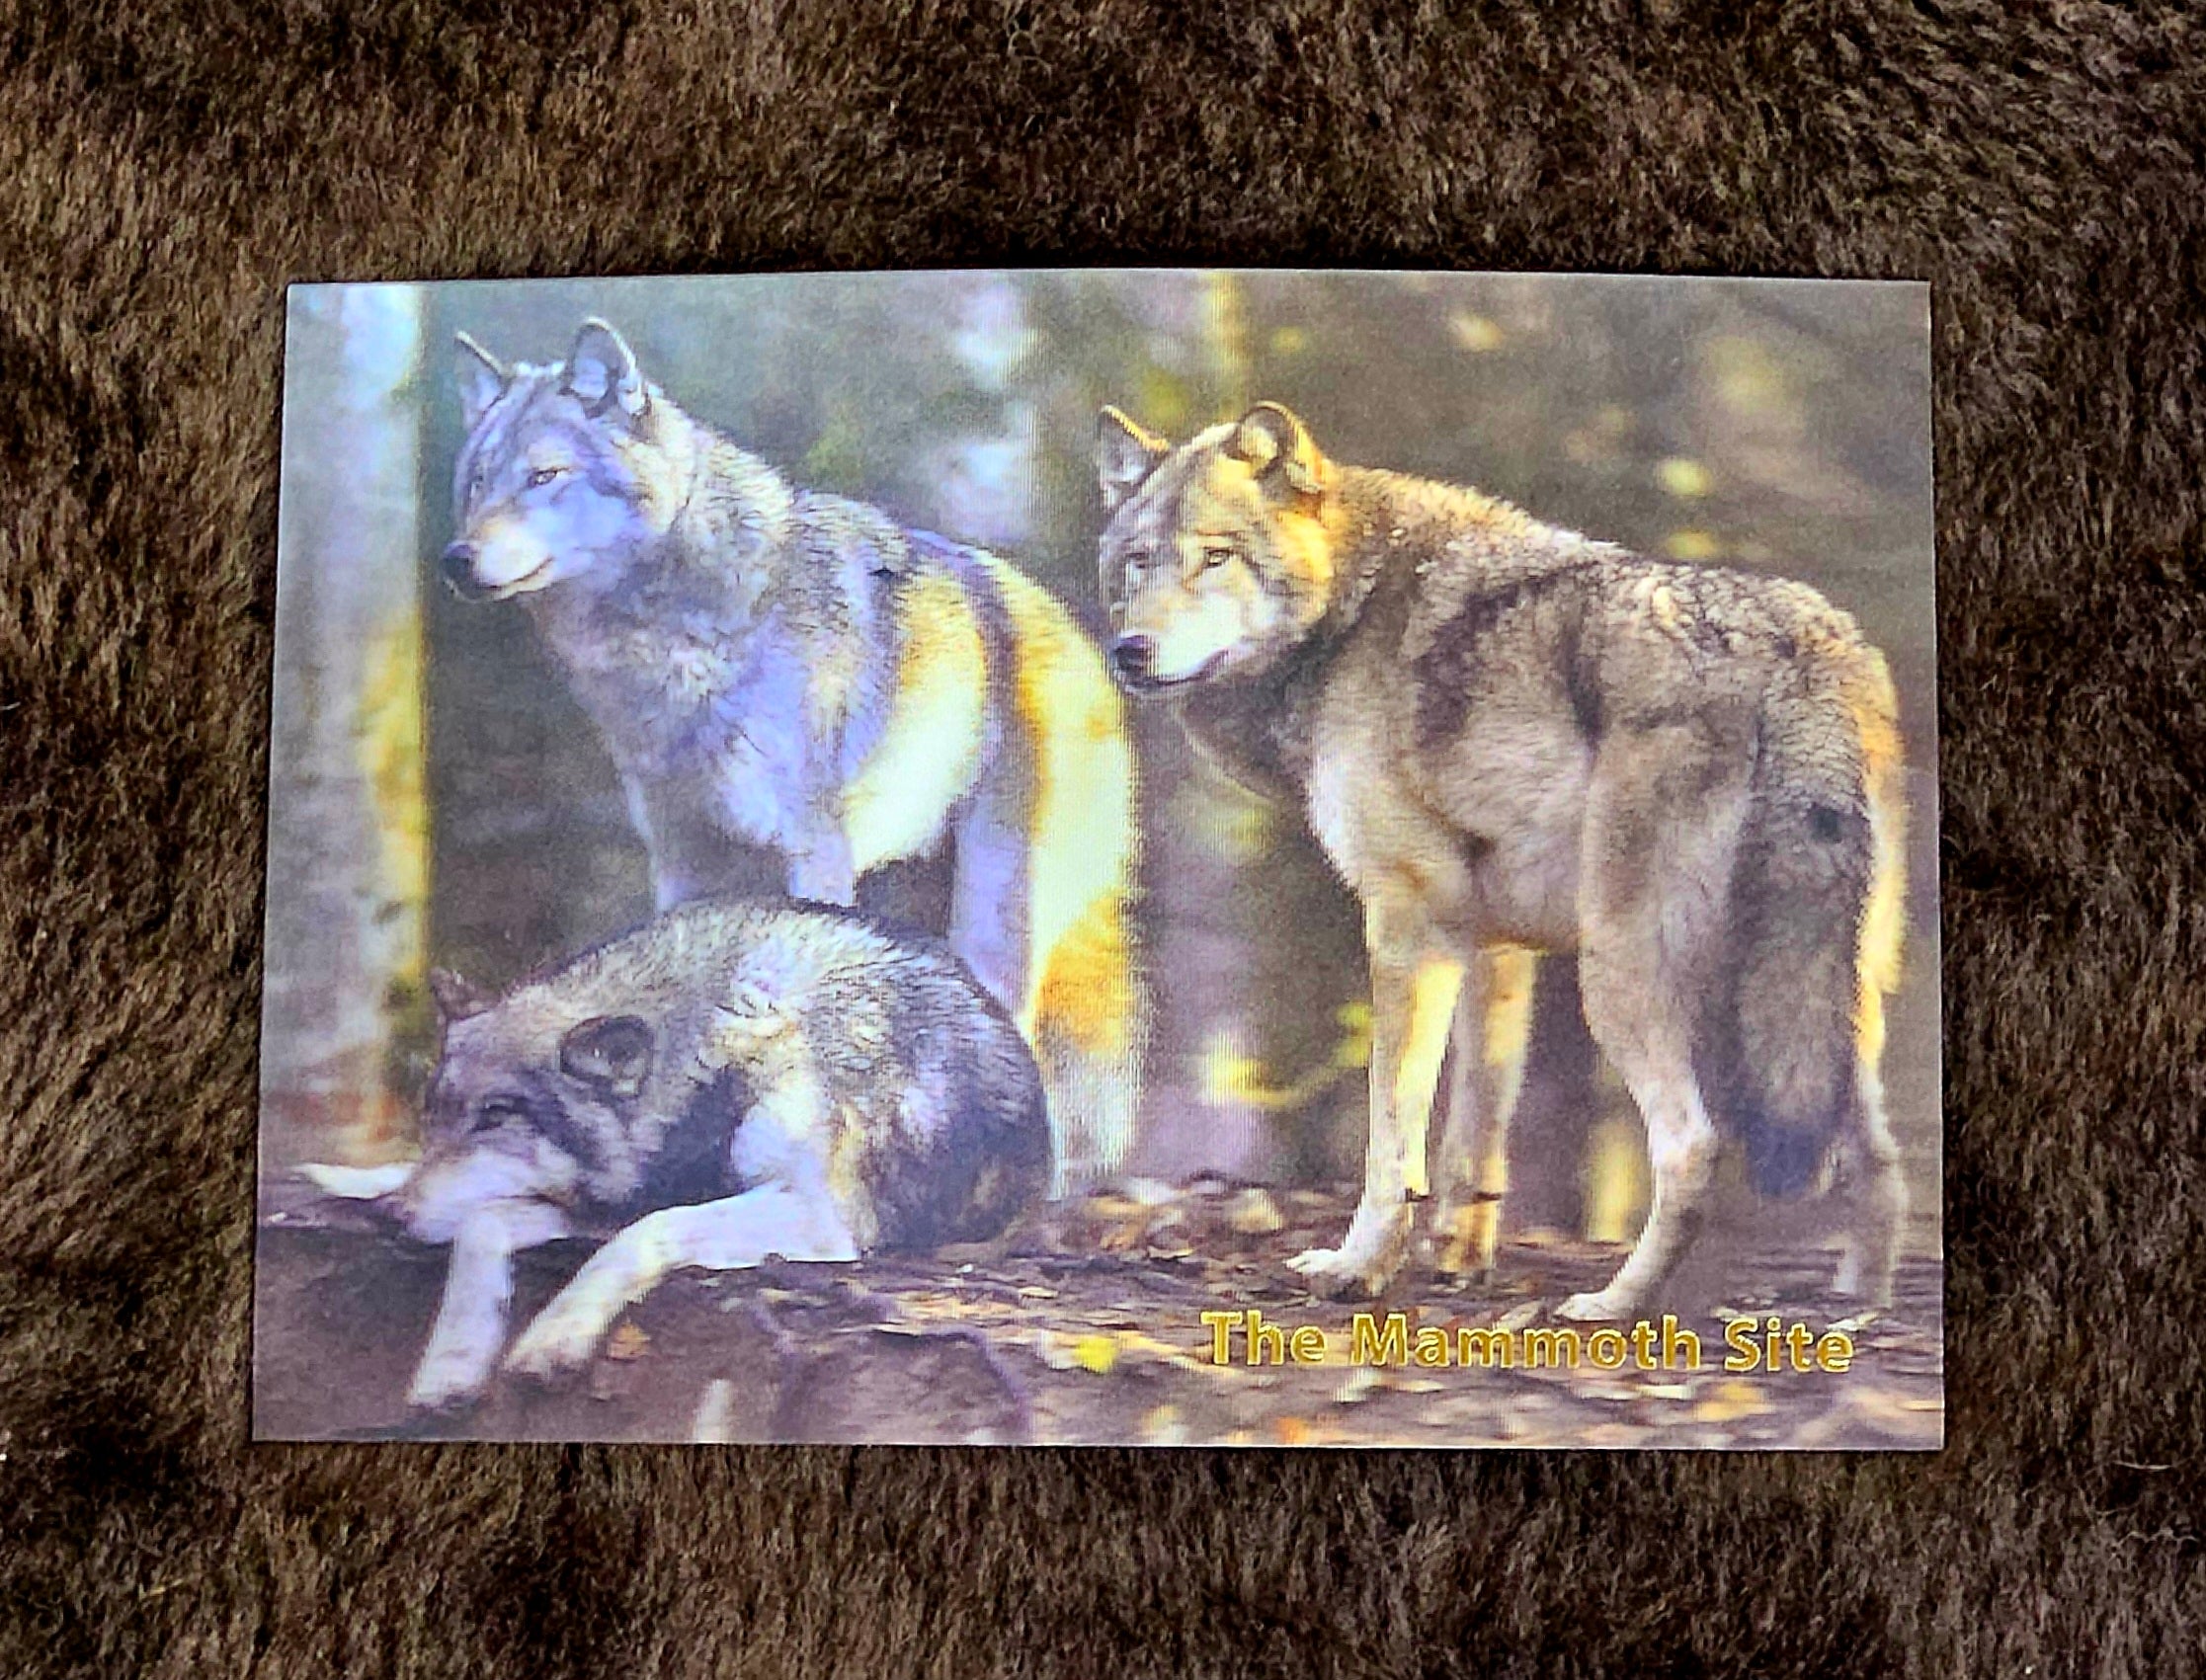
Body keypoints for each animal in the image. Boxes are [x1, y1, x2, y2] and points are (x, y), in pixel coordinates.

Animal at [308, 900, 1050, 1412]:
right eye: (433, 1115)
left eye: (494, 1118)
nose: (389, 1214)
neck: (728, 1045)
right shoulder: (616, 1194)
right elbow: (486, 1226)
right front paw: (453, 1363)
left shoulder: (819, 1216)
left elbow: (644, 1233)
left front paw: (557, 1337)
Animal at [440, 319, 1140, 1193]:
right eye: (477, 482)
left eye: (545, 476)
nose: (456, 559)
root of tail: (1077, 627)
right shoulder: (686, 860)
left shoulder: (813, 852)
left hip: (998, 909)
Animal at [1094, 401, 1908, 1320]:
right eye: (1138, 562)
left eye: (1216, 555)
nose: (1129, 650)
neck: (1350, 614)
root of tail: (1793, 640)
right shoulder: (1493, 945)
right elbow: (1475, 1124)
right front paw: (1458, 1254)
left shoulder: (1407, 930)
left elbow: (1391, 1138)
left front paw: (1357, 1267)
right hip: (1831, 995)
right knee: (1879, 1156)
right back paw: (1859, 1300)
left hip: (1620, 979)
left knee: (1691, 1145)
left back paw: (1613, 1304)